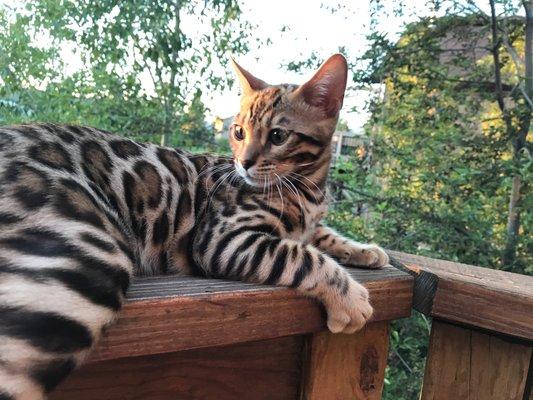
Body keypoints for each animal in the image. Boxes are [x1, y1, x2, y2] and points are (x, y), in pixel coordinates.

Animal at [1, 54, 386, 400]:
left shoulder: (305, 223)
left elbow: (323, 235)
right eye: (238, 131)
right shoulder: (223, 238)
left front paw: (365, 250)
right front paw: (349, 298)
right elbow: (302, 254)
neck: (306, 191)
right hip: (87, 258)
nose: (244, 163)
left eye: (278, 135)